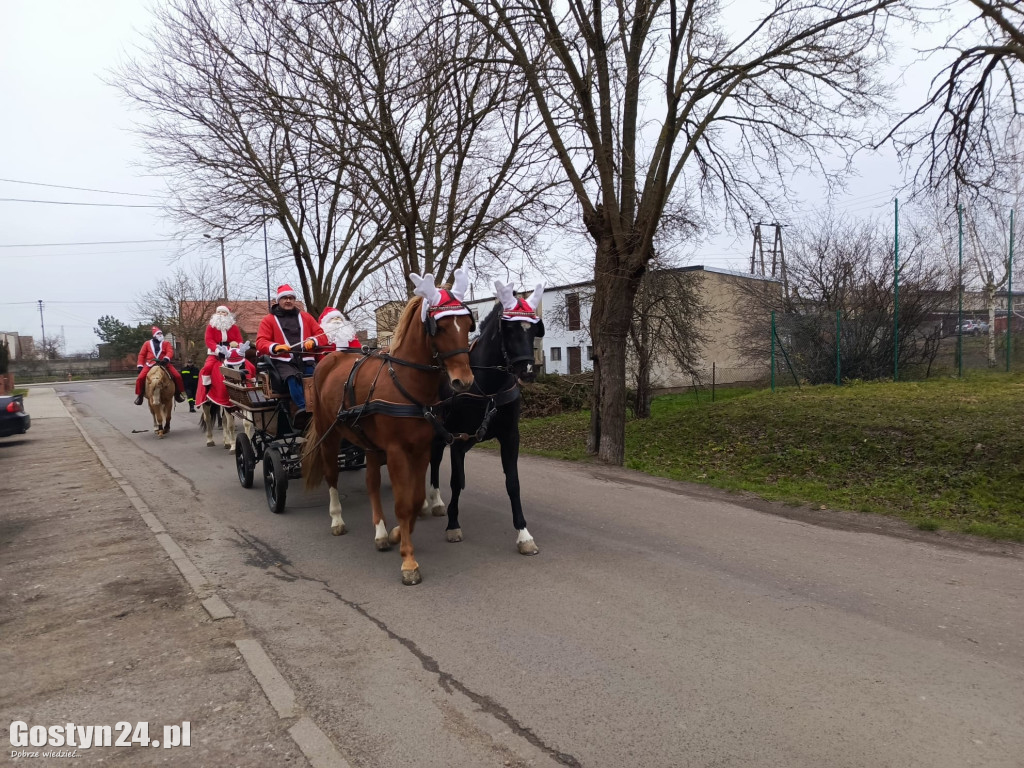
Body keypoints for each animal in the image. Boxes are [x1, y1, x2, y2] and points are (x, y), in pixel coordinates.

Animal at [303, 286, 475, 585]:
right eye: (440, 327)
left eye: (466, 324)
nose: (463, 381)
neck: (407, 383)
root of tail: (330, 358)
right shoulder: (396, 451)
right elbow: (403, 503)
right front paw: (408, 561)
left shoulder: (421, 450)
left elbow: (415, 500)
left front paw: (396, 533)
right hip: (330, 433)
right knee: (332, 475)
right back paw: (337, 519)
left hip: (370, 444)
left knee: (371, 483)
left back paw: (381, 533)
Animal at [421, 286, 544, 557]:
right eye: (509, 330)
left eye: (534, 330)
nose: (528, 371)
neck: (488, 388)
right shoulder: (457, 439)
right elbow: (457, 481)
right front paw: (453, 525)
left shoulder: (509, 436)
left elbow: (513, 483)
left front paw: (523, 534)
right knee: (430, 461)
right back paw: (429, 500)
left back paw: (435, 500)